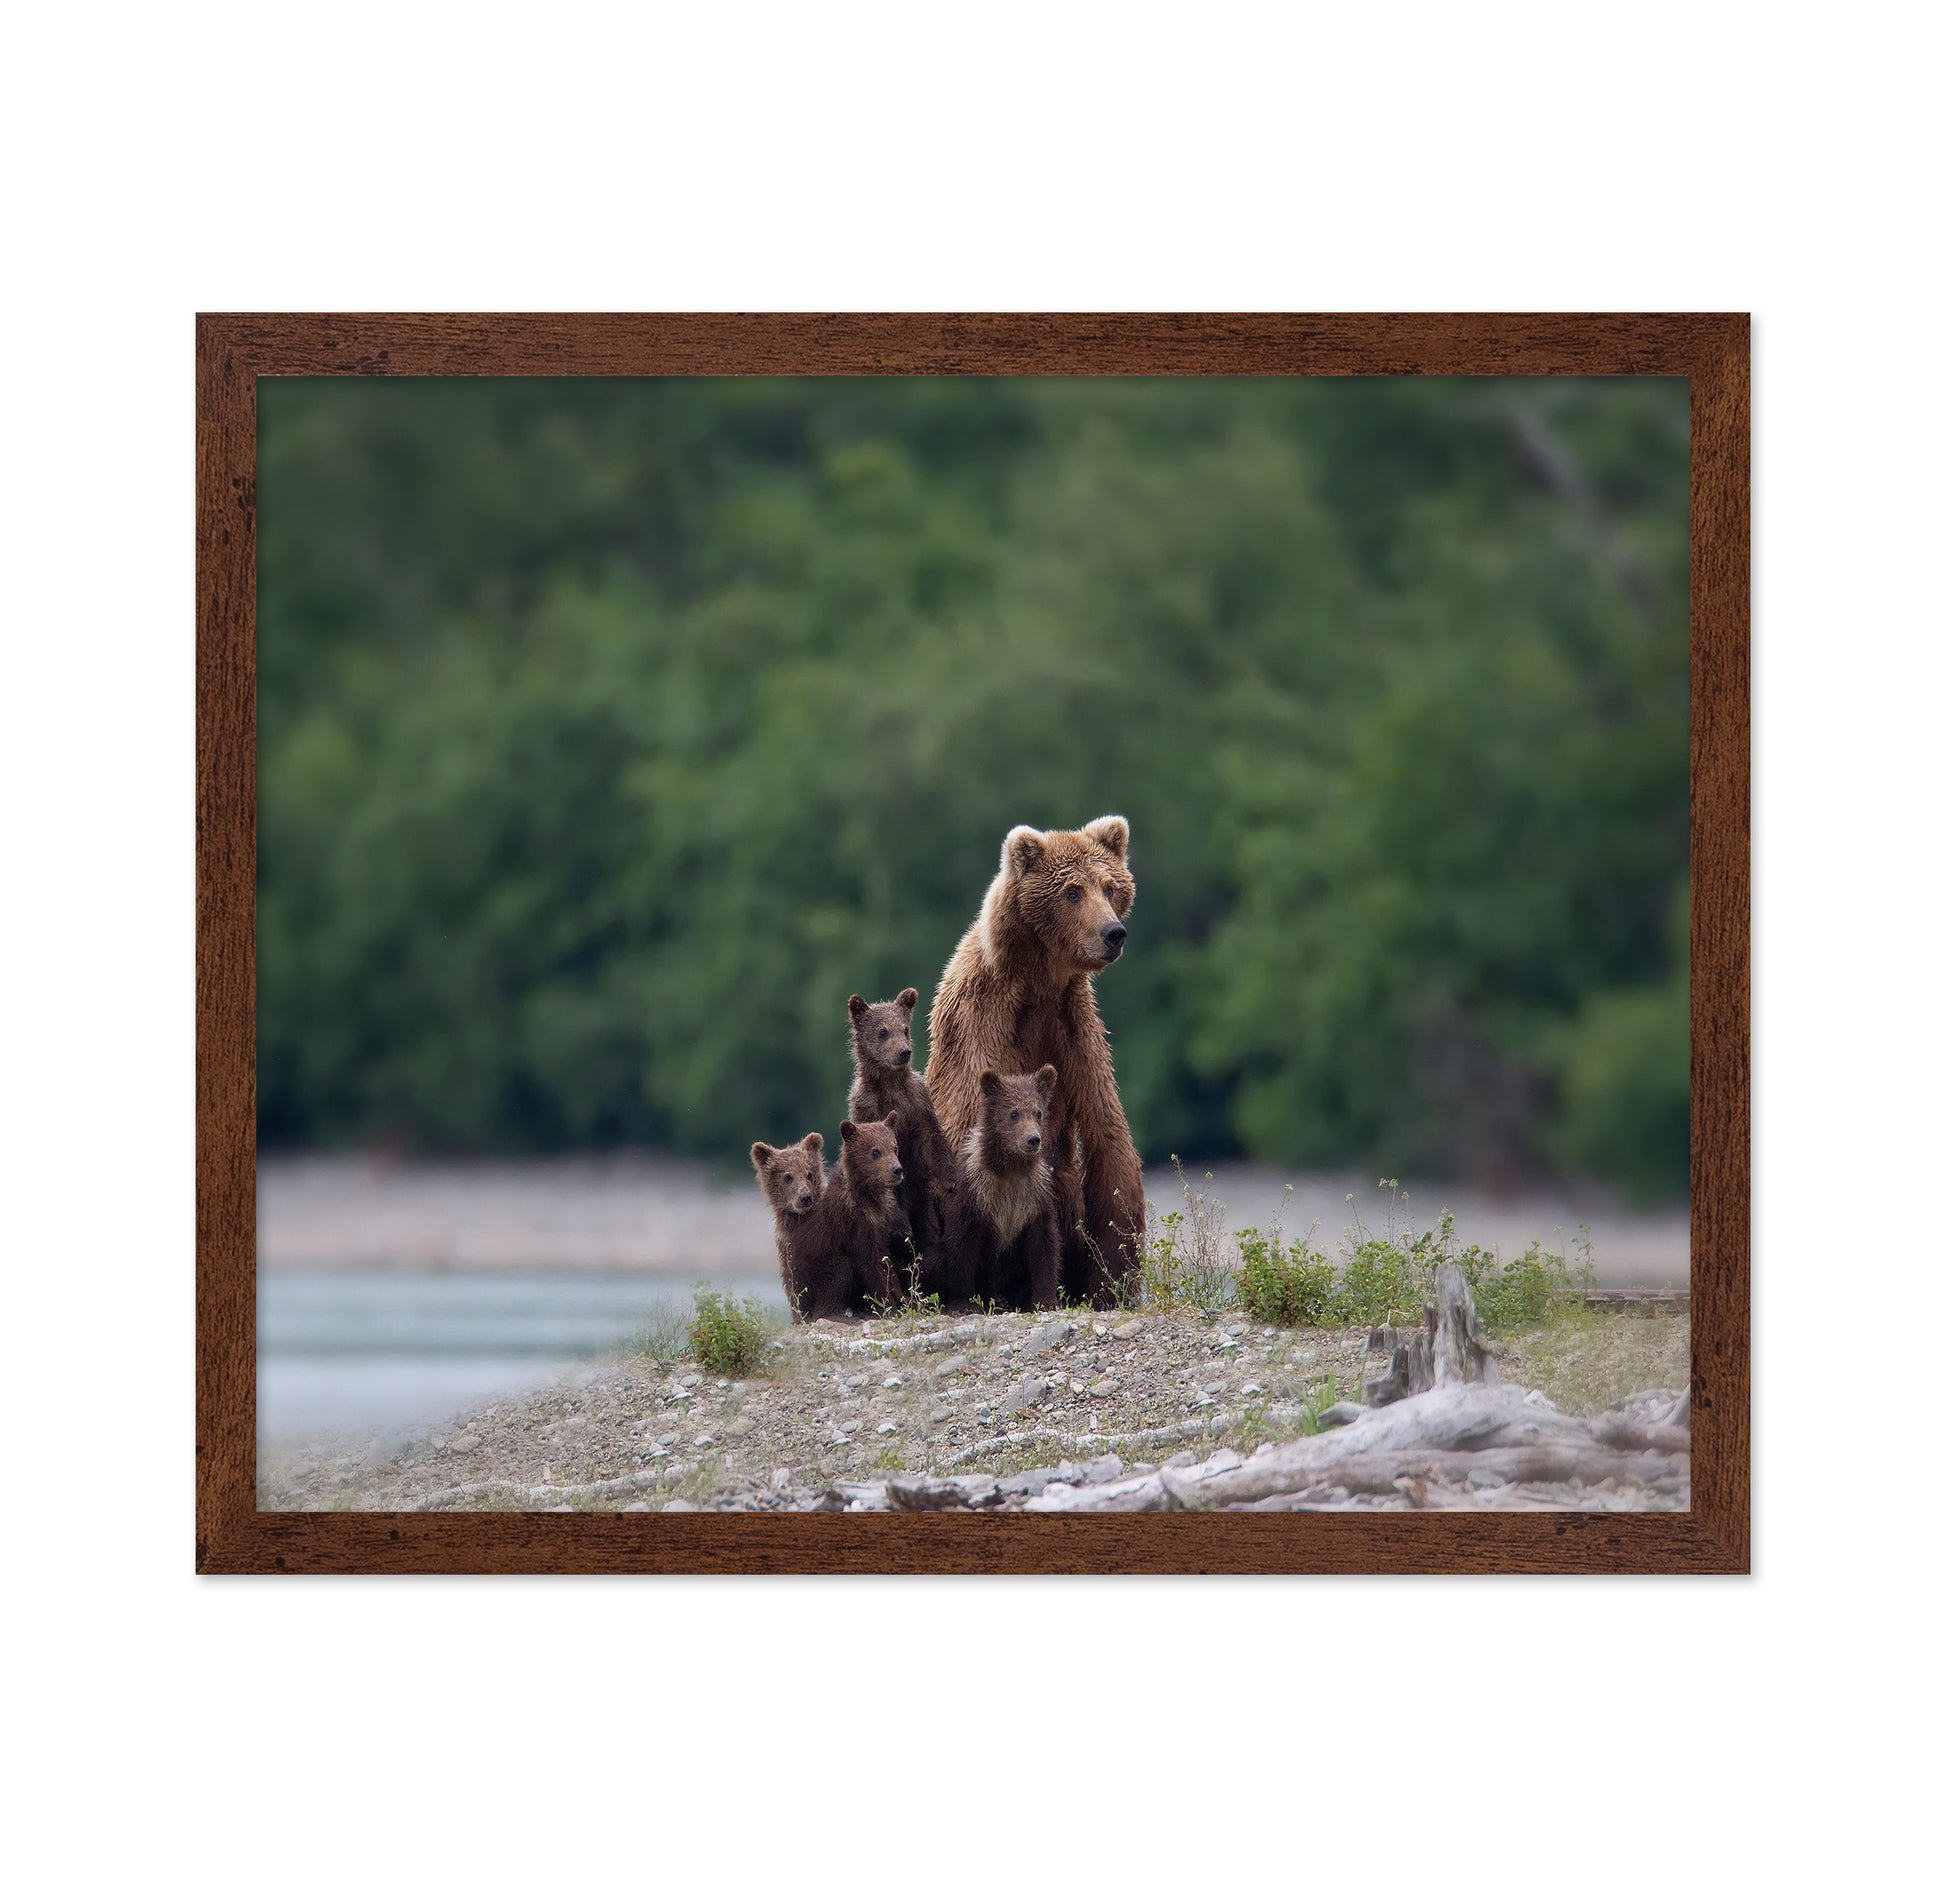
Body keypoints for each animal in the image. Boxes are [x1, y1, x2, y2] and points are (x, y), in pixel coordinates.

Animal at [755, 1117, 911, 1321]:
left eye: (895, 1147)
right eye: (875, 1151)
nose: (897, 1169)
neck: (866, 1199)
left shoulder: (881, 1222)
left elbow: (886, 1260)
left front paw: (906, 1299)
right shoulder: (853, 1225)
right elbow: (871, 1265)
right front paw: (890, 1306)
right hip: (809, 1275)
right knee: (839, 1268)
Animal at [846, 988, 958, 1274]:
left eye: (905, 1028)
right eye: (883, 1031)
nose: (903, 1052)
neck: (890, 1084)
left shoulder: (917, 1102)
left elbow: (931, 1137)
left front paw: (950, 1179)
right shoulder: (866, 1107)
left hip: (923, 1205)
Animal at [938, 1065, 1063, 1313]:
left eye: (1038, 1113)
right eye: (1014, 1113)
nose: (1033, 1139)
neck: (1010, 1169)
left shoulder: (1035, 1194)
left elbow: (1044, 1245)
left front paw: (1046, 1300)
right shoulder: (977, 1190)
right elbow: (962, 1243)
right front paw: (964, 1302)